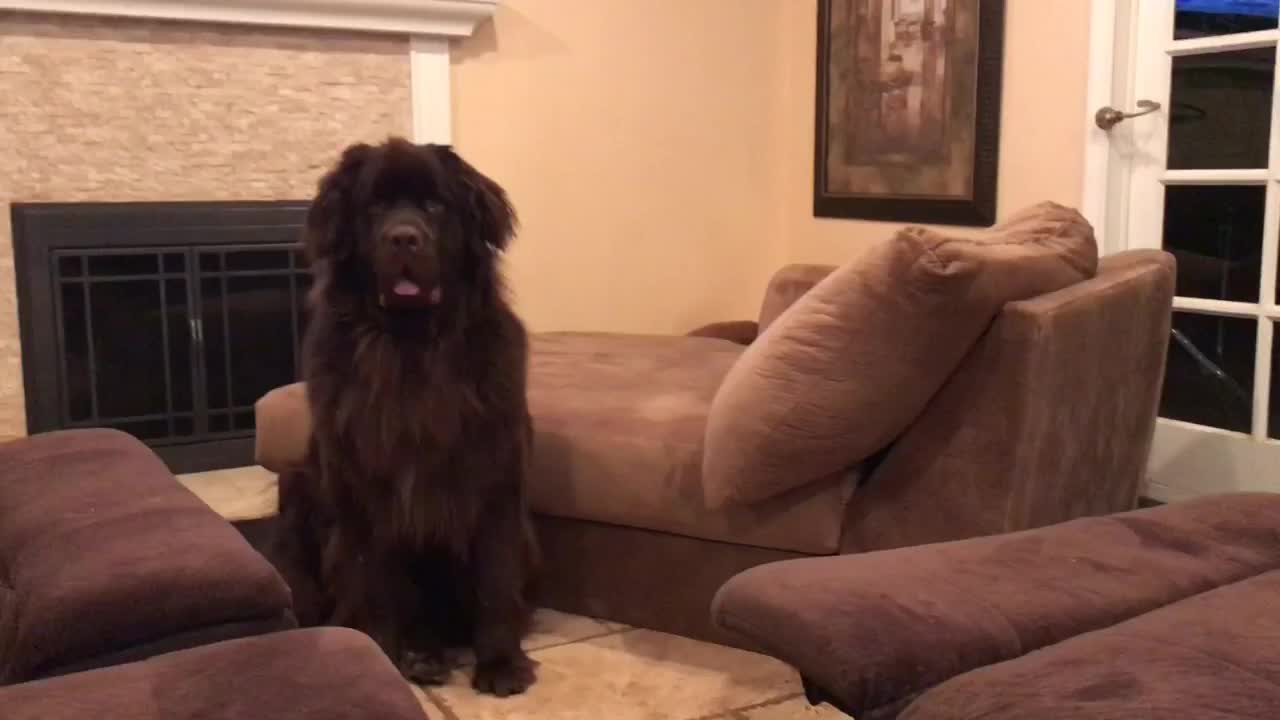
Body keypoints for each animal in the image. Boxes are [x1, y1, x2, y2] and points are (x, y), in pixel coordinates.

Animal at [277, 137, 537, 691]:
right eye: (374, 207)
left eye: (436, 205)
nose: (403, 239)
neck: (411, 347)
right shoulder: (359, 491)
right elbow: (372, 579)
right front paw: (380, 651)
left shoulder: (496, 481)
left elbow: (496, 576)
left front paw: (502, 663)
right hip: (297, 485)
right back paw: (417, 653)